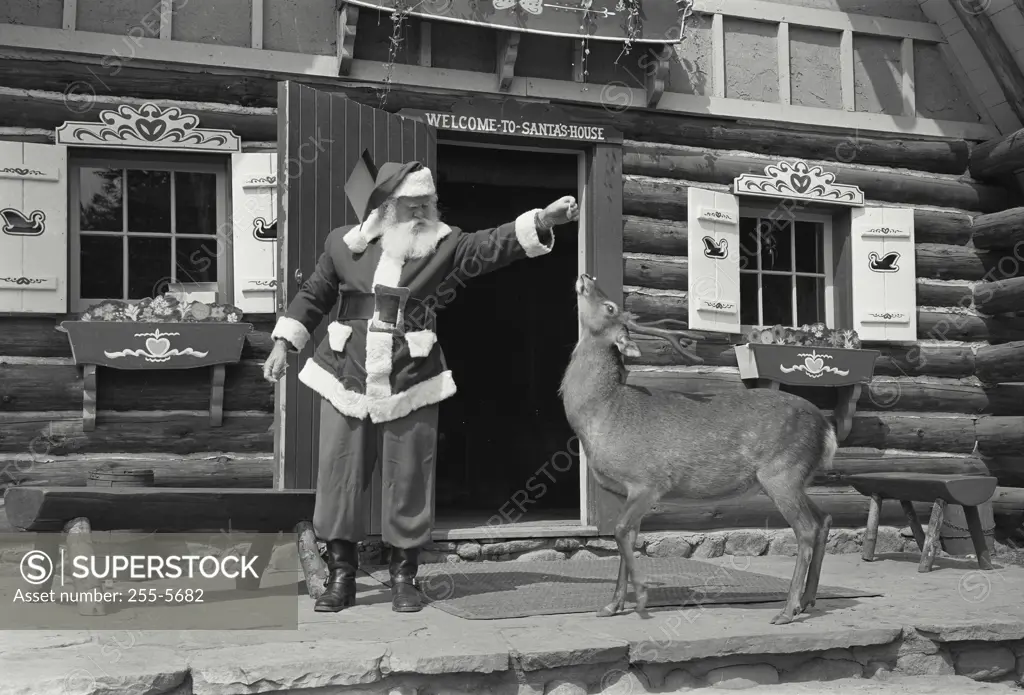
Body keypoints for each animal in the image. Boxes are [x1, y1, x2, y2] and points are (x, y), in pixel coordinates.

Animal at [561, 274, 839, 626]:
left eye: (610, 307)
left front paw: (641, 599)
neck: (603, 414)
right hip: (797, 477)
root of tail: (826, 428)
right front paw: (613, 605)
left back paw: (788, 609)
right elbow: (627, 537)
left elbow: (622, 531)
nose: (586, 277)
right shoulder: (628, 490)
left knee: (806, 529)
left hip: (782, 472)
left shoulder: (650, 481)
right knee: (824, 518)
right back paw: (807, 600)